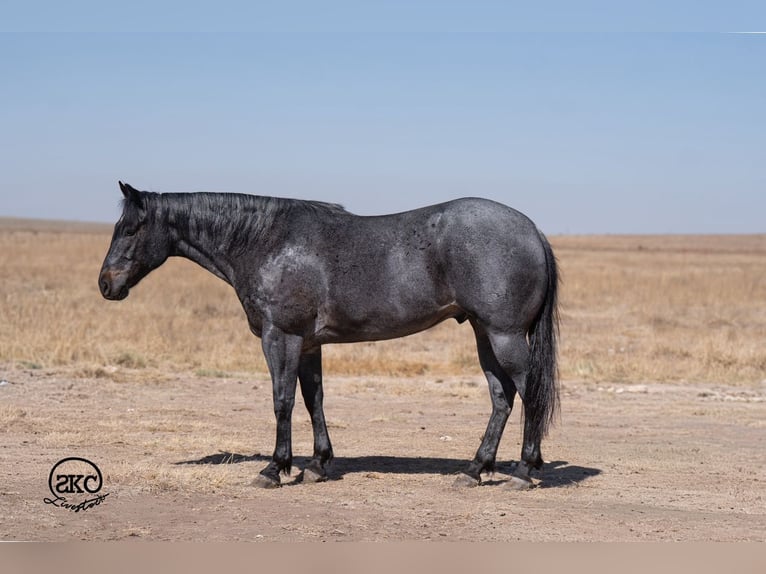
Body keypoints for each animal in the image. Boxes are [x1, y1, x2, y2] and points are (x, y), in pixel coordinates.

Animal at [99, 181, 559, 490]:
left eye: (130, 229)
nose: (106, 284)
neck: (266, 241)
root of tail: (533, 230)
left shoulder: (280, 337)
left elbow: (282, 400)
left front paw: (274, 468)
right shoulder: (308, 344)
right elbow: (313, 399)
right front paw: (318, 464)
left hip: (504, 335)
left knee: (528, 393)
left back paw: (524, 471)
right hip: (485, 334)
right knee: (501, 398)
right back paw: (475, 470)